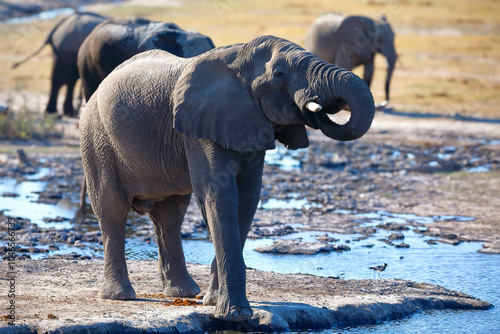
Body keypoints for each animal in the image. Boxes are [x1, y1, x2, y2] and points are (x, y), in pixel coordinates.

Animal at [78, 35, 376, 322]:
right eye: (280, 74)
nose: (316, 108)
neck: (239, 58)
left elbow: (248, 200)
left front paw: (212, 302)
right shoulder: (200, 130)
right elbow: (221, 196)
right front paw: (236, 315)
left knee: (169, 215)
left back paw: (184, 293)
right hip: (96, 138)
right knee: (113, 210)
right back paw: (120, 296)